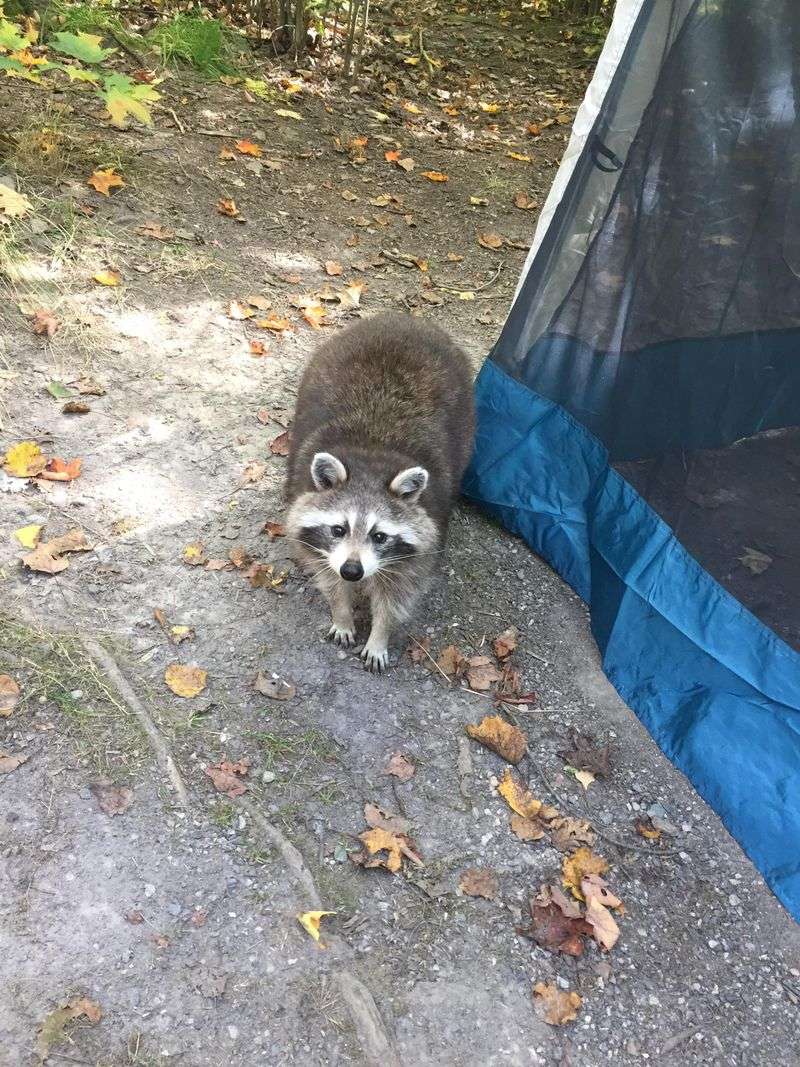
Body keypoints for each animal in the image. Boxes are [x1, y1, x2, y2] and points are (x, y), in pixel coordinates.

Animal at [285, 312, 475, 672]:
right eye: (338, 529)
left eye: (380, 536)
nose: (352, 571)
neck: (372, 456)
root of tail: (402, 318)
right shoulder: (312, 532)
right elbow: (328, 578)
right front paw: (342, 613)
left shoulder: (420, 551)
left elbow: (396, 597)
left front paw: (379, 635)